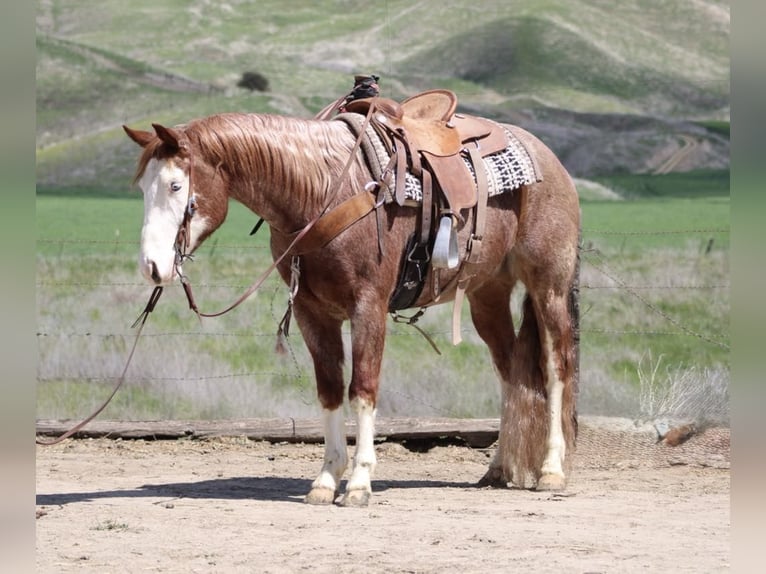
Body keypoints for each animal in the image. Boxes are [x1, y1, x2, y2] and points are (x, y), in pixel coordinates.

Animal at [123, 100, 580, 507]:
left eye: (176, 186)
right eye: (143, 187)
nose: (151, 266)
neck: (322, 191)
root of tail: (549, 159)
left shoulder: (368, 307)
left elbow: (362, 389)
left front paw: (359, 483)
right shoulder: (312, 313)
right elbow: (329, 391)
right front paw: (326, 480)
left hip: (549, 287)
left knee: (556, 369)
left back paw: (551, 471)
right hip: (488, 295)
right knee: (510, 373)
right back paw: (499, 469)